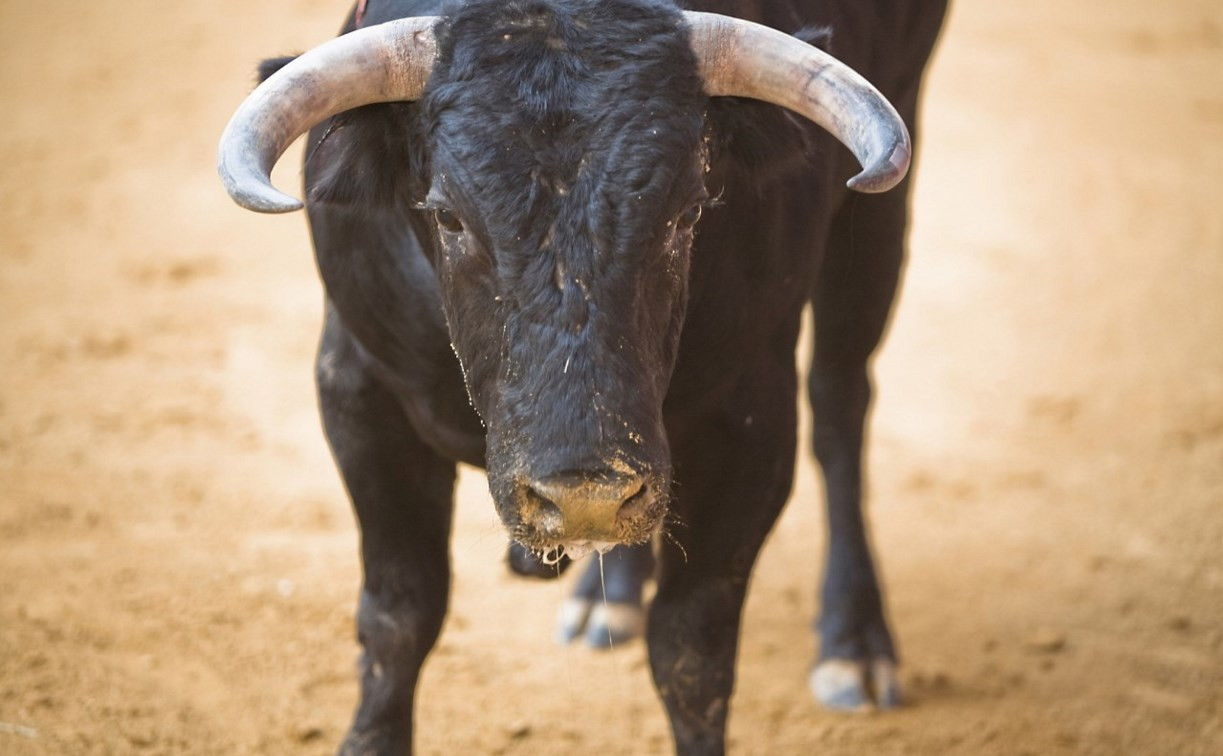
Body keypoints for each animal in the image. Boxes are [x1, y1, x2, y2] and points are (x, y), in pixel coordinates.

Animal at [217, 0, 944, 748]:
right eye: (447, 216)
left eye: (687, 213)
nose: (584, 494)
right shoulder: (361, 390)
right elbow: (400, 615)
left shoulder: (752, 419)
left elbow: (692, 652)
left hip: (880, 193)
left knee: (839, 401)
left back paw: (853, 644)